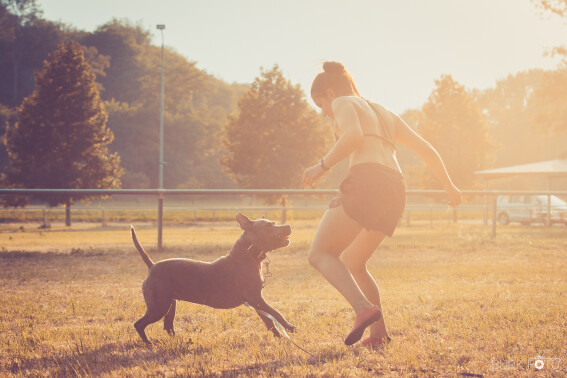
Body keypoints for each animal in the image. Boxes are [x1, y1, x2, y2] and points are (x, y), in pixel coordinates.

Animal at [130, 213, 296, 346]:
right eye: (269, 225)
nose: (288, 225)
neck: (248, 254)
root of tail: (152, 266)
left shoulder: (256, 301)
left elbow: (269, 320)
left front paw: (279, 337)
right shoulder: (255, 298)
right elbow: (275, 312)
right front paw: (288, 327)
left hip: (169, 304)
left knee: (168, 327)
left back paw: (181, 342)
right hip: (158, 308)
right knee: (139, 324)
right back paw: (148, 343)